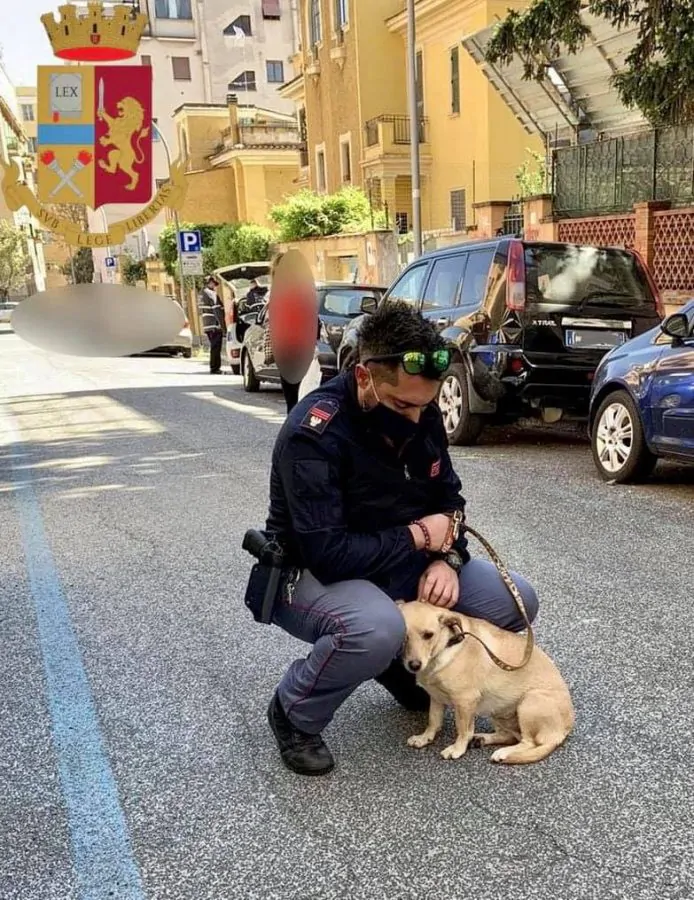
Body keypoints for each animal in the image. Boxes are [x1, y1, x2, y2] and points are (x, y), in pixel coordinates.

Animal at [396, 600, 576, 764]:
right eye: (403, 637)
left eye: (428, 635)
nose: (414, 665)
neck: (445, 647)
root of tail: (562, 732)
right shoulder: (436, 698)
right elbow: (433, 721)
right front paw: (424, 738)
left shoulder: (465, 701)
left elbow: (463, 730)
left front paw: (457, 749)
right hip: (499, 710)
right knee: (510, 736)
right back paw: (482, 739)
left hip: (529, 701)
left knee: (528, 742)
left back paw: (504, 753)